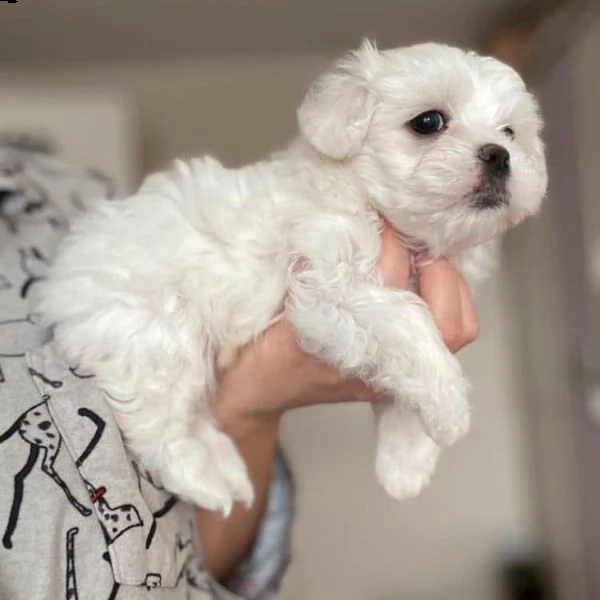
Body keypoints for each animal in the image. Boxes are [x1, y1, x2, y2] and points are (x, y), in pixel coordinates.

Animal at [36, 42, 544, 512]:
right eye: (428, 122)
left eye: (509, 132)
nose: (499, 155)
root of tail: (60, 283)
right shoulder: (332, 287)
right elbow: (409, 327)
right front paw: (450, 409)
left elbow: (402, 377)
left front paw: (406, 461)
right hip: (154, 332)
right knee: (160, 425)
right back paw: (209, 480)